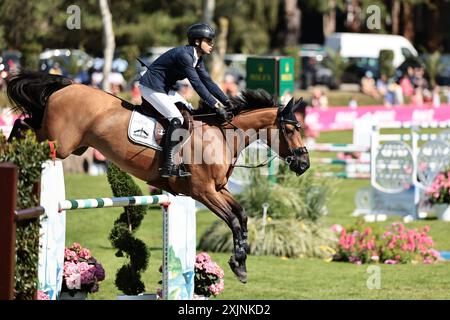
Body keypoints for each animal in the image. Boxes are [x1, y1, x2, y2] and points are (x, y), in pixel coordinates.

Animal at [6, 71, 310, 284]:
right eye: (291, 130)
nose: (304, 163)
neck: (222, 136)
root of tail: (68, 86)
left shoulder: (218, 189)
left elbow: (243, 216)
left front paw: (241, 265)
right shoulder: (204, 192)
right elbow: (233, 221)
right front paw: (238, 265)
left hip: (72, 144)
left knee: (25, 124)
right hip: (59, 144)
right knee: (23, 127)